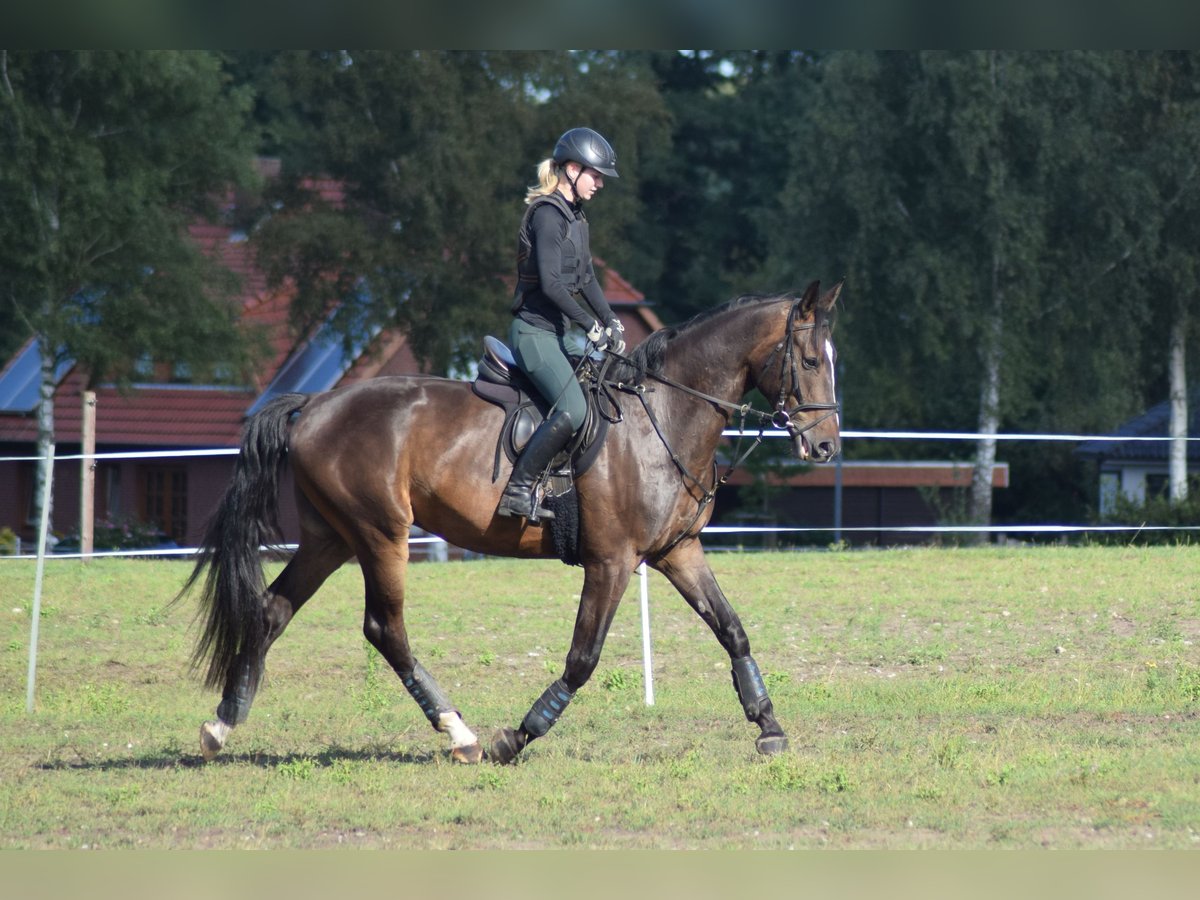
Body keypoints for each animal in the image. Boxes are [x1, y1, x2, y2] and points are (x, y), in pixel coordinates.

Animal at [182, 278, 844, 763]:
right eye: (811, 359)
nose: (825, 447)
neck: (662, 414)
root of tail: (315, 404)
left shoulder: (677, 551)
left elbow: (732, 629)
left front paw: (768, 725)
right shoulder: (611, 562)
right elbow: (583, 658)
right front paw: (518, 736)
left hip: (331, 538)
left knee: (273, 610)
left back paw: (221, 726)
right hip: (380, 535)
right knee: (384, 629)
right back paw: (463, 734)